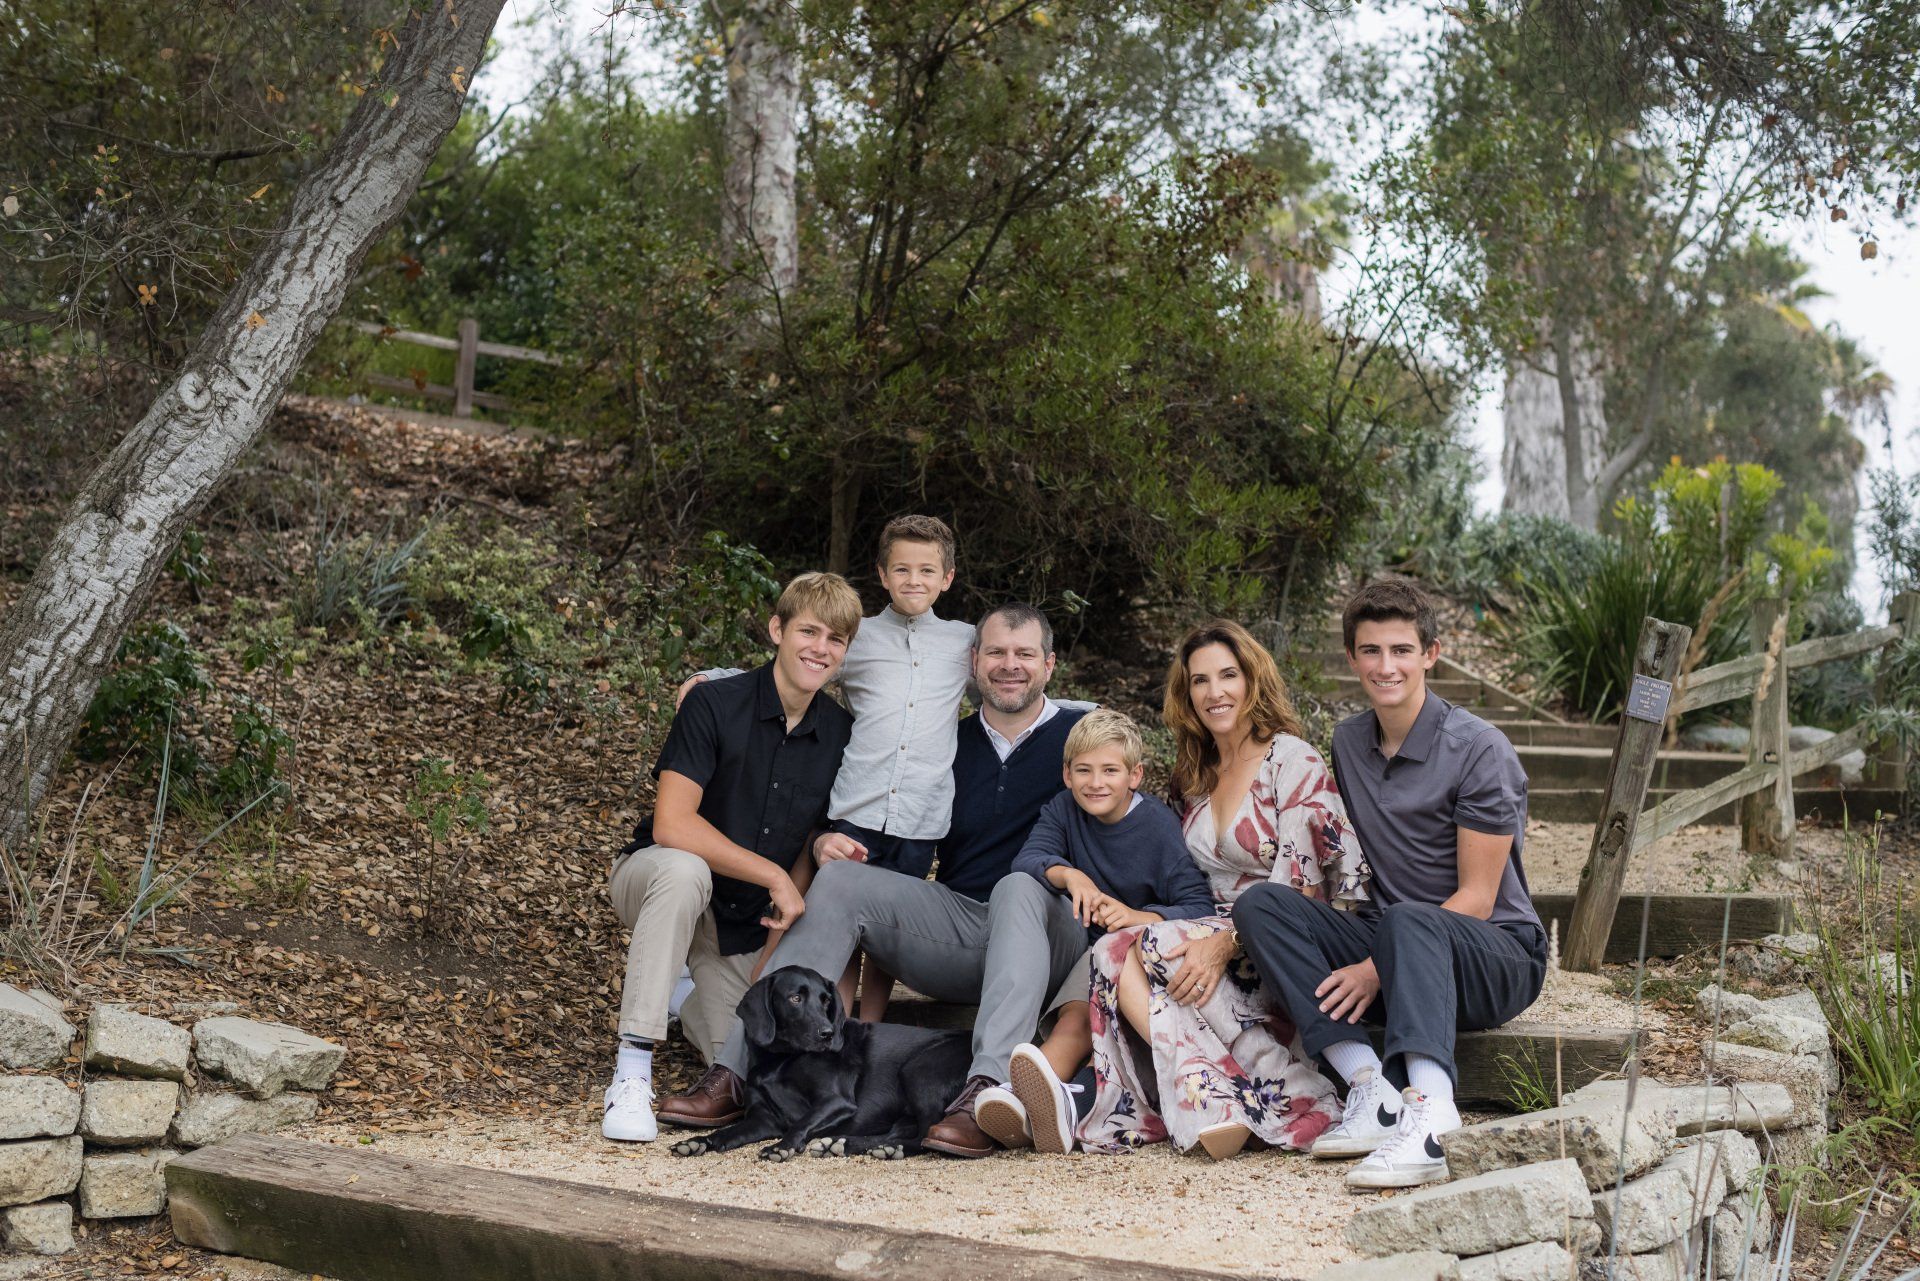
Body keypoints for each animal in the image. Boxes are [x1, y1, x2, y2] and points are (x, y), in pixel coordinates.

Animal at [675, 967, 975, 1167]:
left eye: (826, 999)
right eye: (795, 998)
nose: (828, 1033)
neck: (780, 1060)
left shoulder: (836, 1101)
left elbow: (802, 1122)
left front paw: (782, 1147)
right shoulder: (763, 1119)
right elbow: (726, 1132)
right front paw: (699, 1141)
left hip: (918, 1070)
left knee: (925, 1136)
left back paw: (892, 1149)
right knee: (895, 1133)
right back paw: (844, 1144)